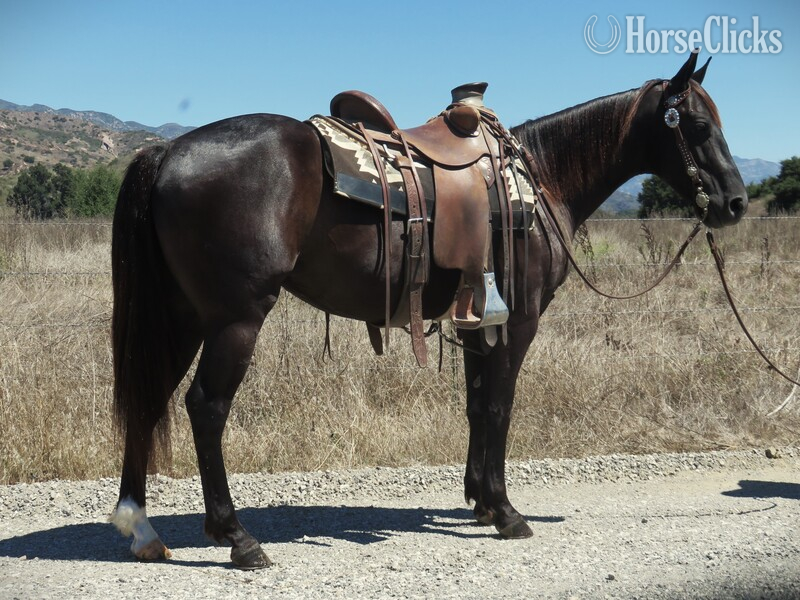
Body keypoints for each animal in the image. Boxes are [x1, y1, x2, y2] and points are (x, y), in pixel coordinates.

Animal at [109, 51, 747, 569]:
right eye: (697, 125)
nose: (736, 203)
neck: (541, 182)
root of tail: (169, 150)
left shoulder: (481, 321)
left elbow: (476, 407)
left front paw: (481, 501)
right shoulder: (518, 321)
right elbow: (499, 407)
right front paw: (506, 512)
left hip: (184, 316)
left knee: (149, 398)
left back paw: (140, 528)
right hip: (235, 319)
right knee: (205, 406)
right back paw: (237, 537)